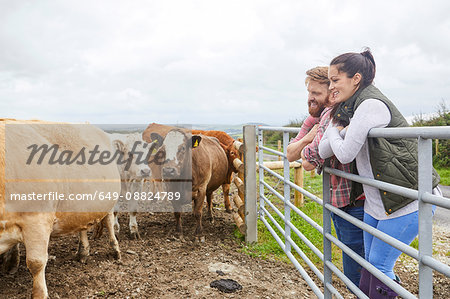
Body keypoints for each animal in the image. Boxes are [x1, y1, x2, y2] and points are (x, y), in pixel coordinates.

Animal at [0, 120, 121, 299]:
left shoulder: (37, 219)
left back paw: (115, 250)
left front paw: (40, 294)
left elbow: (36, 262)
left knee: (109, 222)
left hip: (110, 201)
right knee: (82, 226)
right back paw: (83, 253)